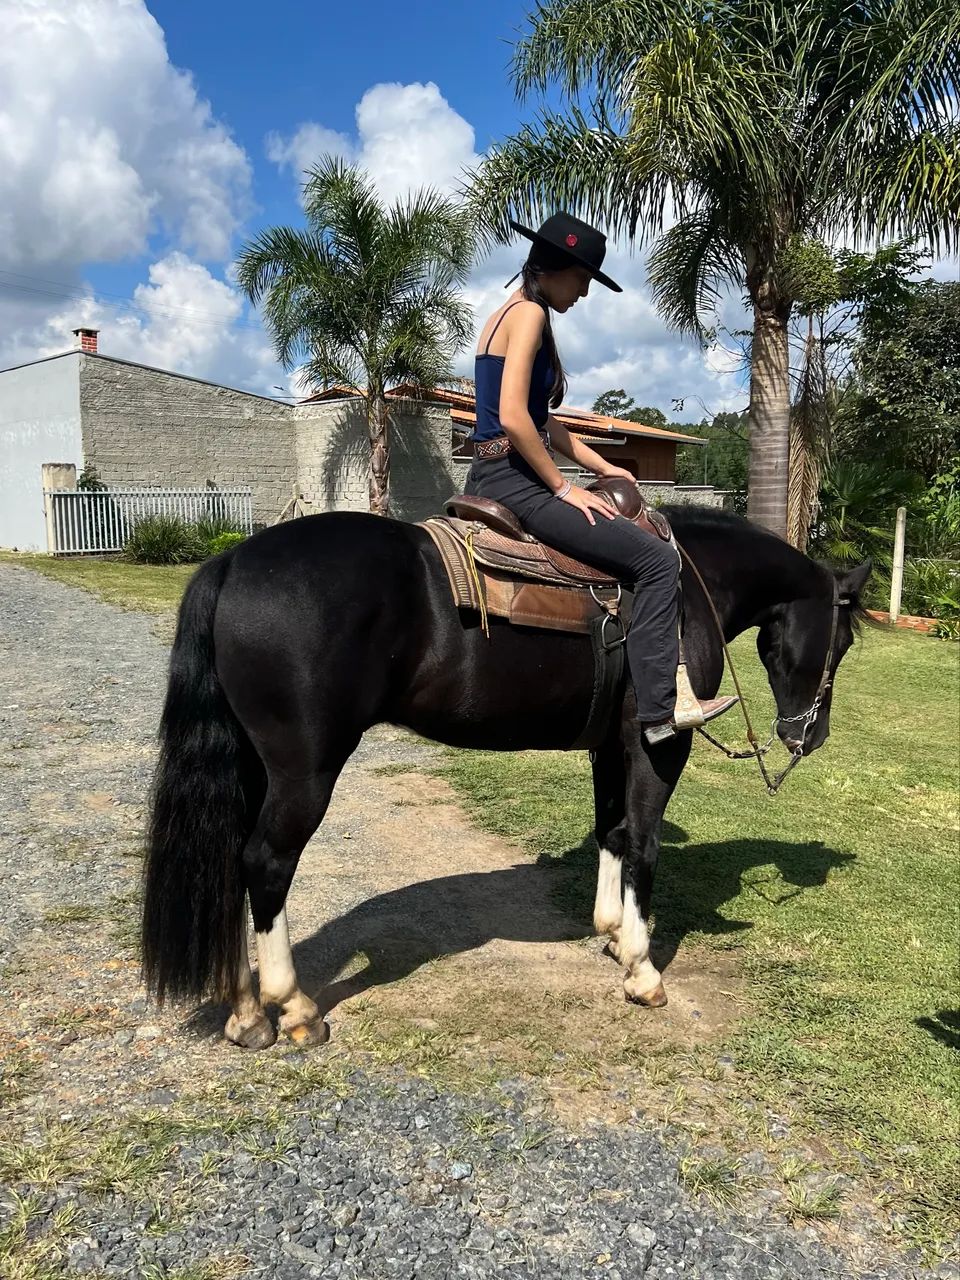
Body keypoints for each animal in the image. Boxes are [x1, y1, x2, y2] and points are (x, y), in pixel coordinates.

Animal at [141, 504, 871, 1050]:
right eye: (842, 642)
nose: (809, 736)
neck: (690, 586)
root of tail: (234, 561)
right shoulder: (657, 745)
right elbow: (644, 842)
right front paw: (640, 968)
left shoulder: (609, 746)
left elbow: (611, 831)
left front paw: (610, 932)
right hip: (305, 772)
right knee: (265, 863)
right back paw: (291, 1008)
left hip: (256, 766)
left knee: (233, 862)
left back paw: (245, 1012)